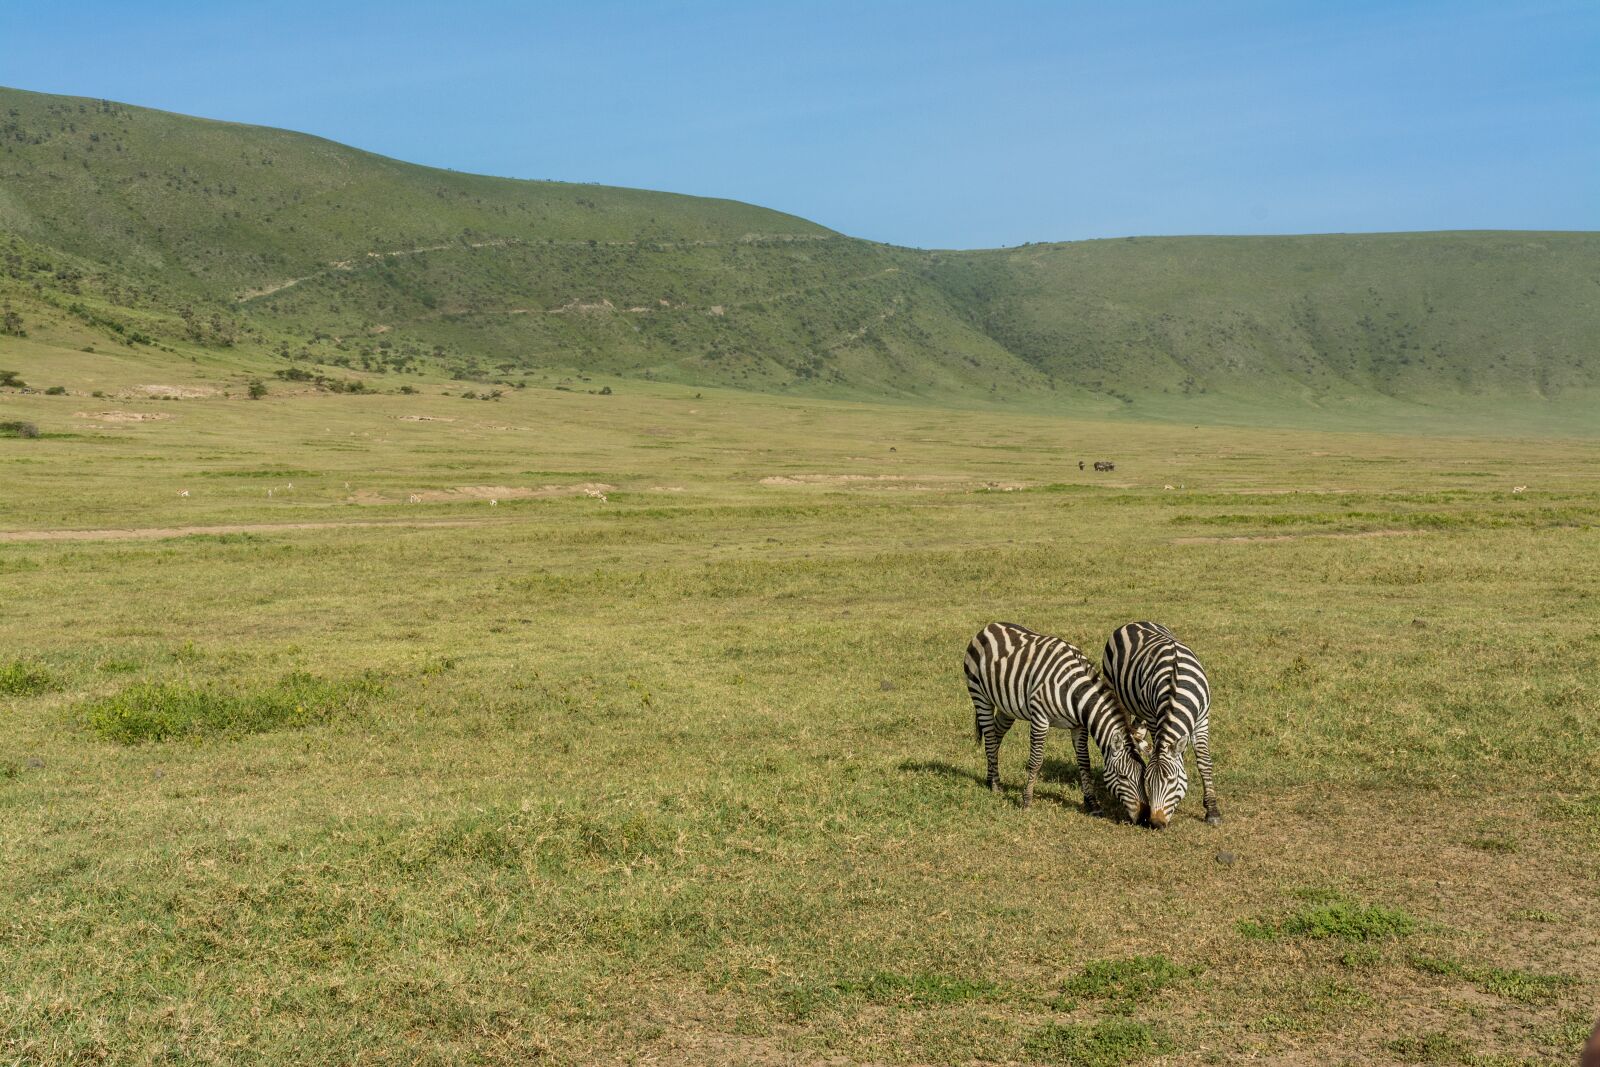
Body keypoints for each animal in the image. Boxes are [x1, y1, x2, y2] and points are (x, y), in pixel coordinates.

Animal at [964, 622, 1147, 821]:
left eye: (1144, 776)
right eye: (1123, 777)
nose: (1143, 816)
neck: (1074, 691)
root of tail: (989, 627)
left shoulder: (1079, 726)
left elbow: (1084, 762)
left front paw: (1092, 803)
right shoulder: (1040, 718)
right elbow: (1036, 761)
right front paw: (1027, 800)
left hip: (1007, 707)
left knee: (996, 735)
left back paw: (990, 778)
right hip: (980, 696)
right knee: (989, 737)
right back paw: (996, 785)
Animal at [1101, 621, 1221, 828]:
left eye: (1172, 781)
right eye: (1148, 781)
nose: (1156, 823)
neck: (1176, 686)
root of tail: (1133, 622)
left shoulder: (1202, 719)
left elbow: (1204, 762)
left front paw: (1212, 811)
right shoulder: (1153, 717)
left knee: (1137, 733)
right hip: (1116, 692)